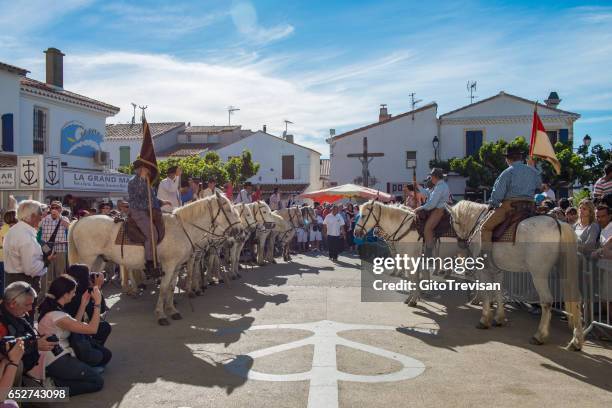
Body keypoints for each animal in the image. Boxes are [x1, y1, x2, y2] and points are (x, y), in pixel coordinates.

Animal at [67, 192, 239, 326]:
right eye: (228, 209)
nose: (238, 231)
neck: (181, 228)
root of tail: (79, 221)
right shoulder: (169, 266)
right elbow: (163, 289)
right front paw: (161, 315)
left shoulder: (176, 266)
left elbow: (171, 287)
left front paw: (172, 310)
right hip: (88, 260)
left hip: (99, 261)